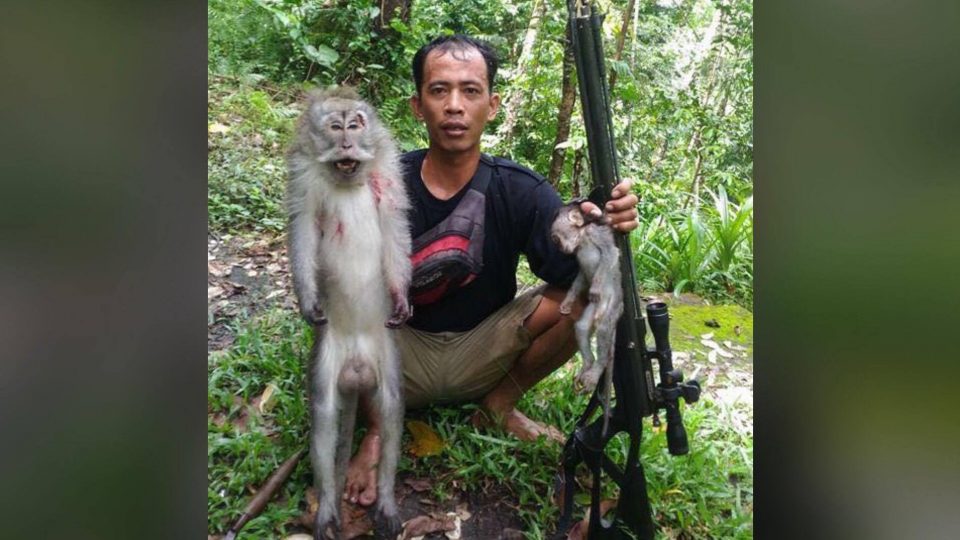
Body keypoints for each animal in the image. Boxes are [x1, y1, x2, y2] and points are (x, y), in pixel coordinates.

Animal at [286, 86, 411, 539]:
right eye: (335, 126)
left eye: (356, 125)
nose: (346, 142)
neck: (348, 178)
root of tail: (357, 366)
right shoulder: (302, 173)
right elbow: (303, 226)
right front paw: (308, 300)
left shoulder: (389, 168)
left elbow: (394, 223)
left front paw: (402, 296)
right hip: (328, 355)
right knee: (324, 413)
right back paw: (327, 509)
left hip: (385, 353)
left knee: (391, 407)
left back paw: (386, 502)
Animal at [550, 202, 624, 435]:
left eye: (556, 239)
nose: (562, 250)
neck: (582, 238)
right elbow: (581, 277)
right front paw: (568, 301)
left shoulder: (596, 233)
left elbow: (610, 254)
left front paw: (595, 287)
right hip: (593, 310)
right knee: (582, 327)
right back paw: (588, 364)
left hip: (612, 306)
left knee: (603, 330)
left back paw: (597, 367)